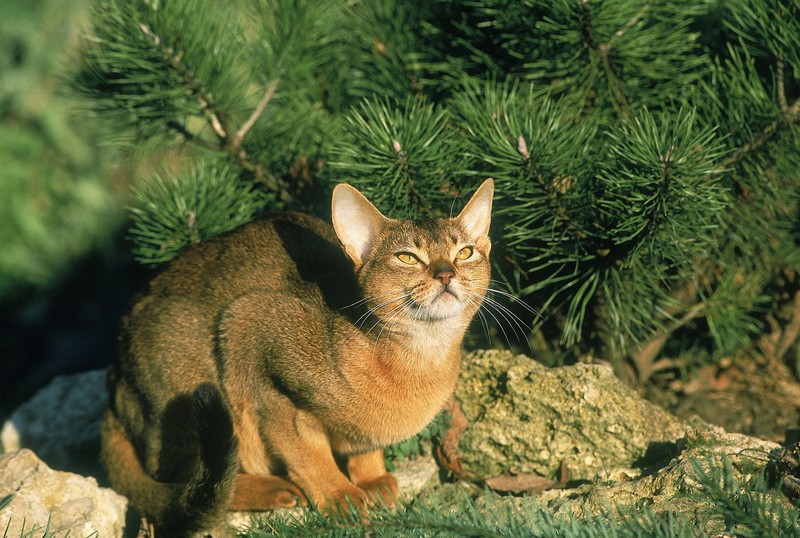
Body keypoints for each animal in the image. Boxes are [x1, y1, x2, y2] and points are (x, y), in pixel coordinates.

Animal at [101, 177, 494, 532]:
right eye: (407, 258)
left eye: (465, 252)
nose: (446, 274)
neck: (417, 363)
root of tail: (114, 377)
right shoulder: (252, 338)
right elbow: (307, 455)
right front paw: (340, 495)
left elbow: (363, 445)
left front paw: (371, 478)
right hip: (189, 380)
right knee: (179, 481)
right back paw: (269, 489)